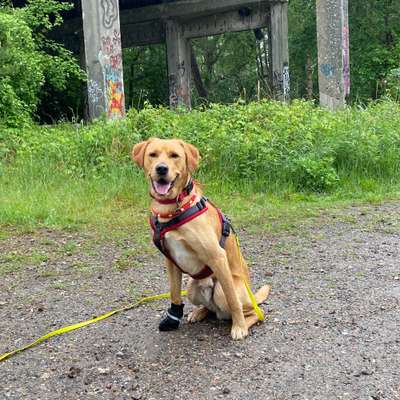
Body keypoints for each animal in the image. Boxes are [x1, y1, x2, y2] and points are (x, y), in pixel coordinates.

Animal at [130, 139, 268, 340]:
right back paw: (199, 312)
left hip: (222, 292)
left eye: (174, 155)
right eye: (153, 154)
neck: (174, 208)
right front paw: (172, 319)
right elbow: (174, 294)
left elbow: (233, 301)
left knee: (252, 311)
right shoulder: (171, 261)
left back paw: (243, 321)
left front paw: (239, 326)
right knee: (211, 309)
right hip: (192, 286)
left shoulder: (217, 257)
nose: (161, 169)